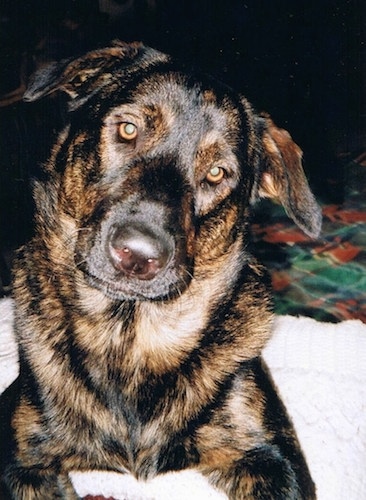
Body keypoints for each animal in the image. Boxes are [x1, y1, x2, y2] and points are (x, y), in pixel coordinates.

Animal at [0, 41, 320, 498]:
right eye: (128, 129)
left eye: (217, 173)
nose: (137, 254)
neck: (128, 337)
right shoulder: (22, 458)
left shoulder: (273, 456)